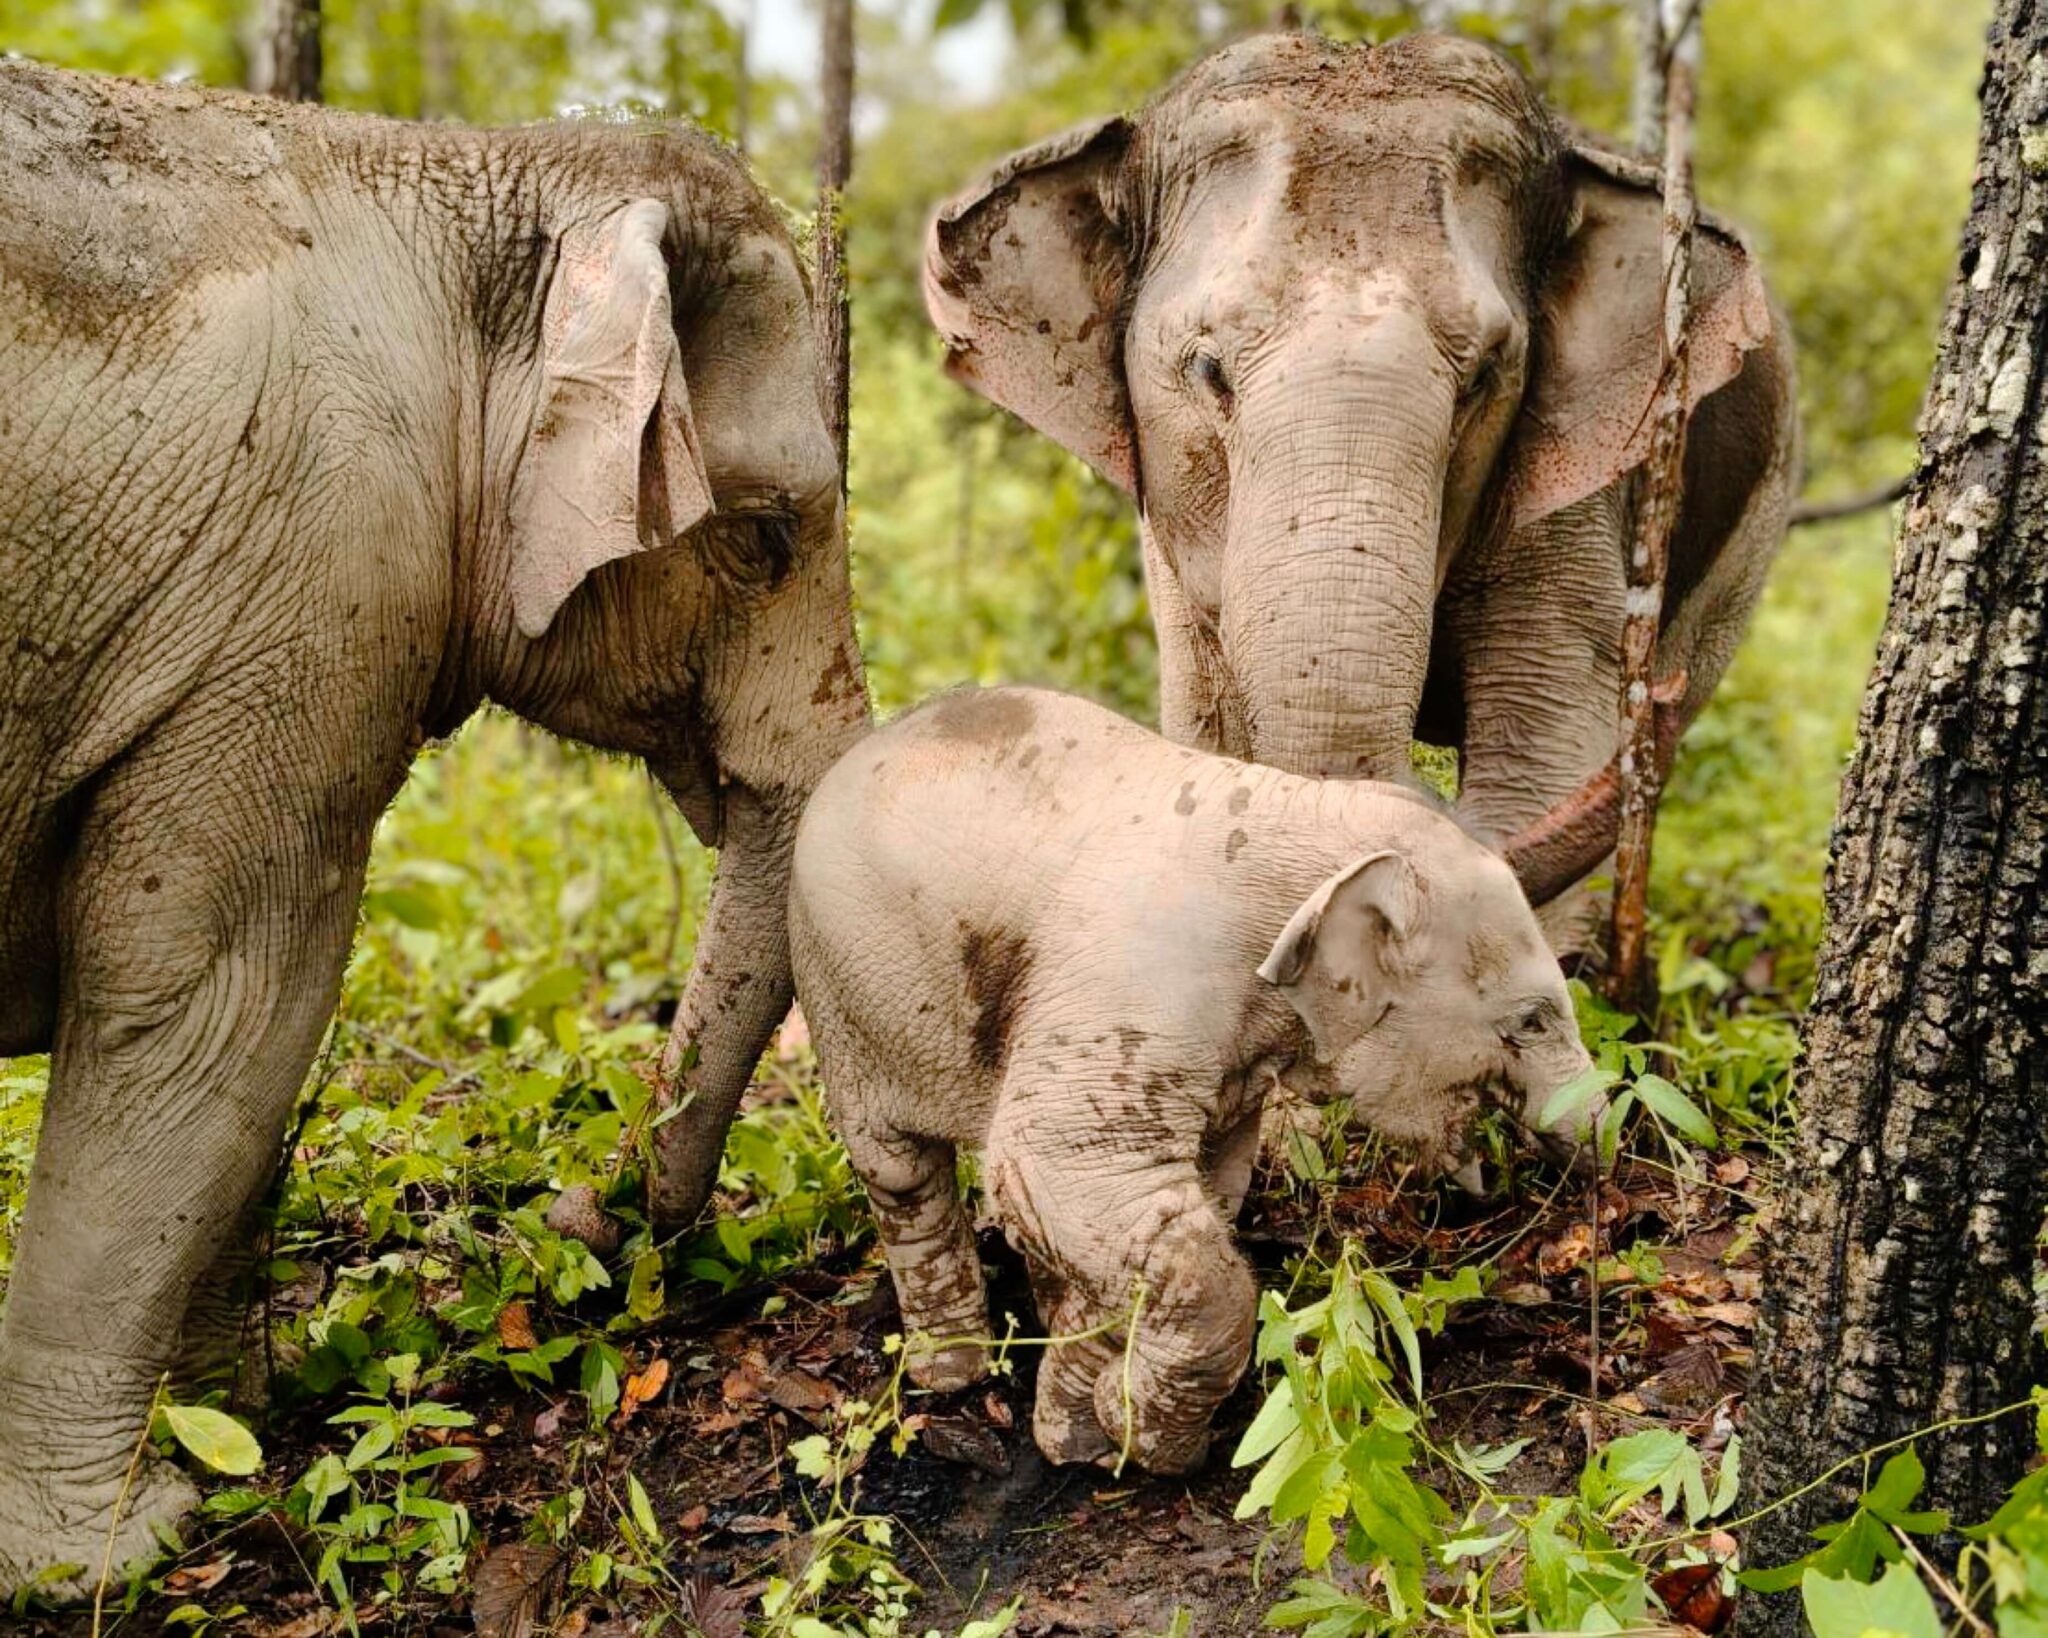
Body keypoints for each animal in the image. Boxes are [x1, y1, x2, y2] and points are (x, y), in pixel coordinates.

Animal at [0, 60, 867, 1592]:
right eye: (766, 537)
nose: (602, 1221)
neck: (462, 176)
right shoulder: (307, 575)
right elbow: (215, 999)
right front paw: (113, 1548)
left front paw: (248, 1419)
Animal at [788, 686, 1594, 1474]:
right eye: (1530, 1021)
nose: (1582, 1179)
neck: (1307, 815)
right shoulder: (1131, 988)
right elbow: (1057, 1168)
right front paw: (1146, 1446)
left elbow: (1193, 1191)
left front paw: (1083, 1428)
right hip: (841, 999)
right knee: (899, 1173)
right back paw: (953, 1373)